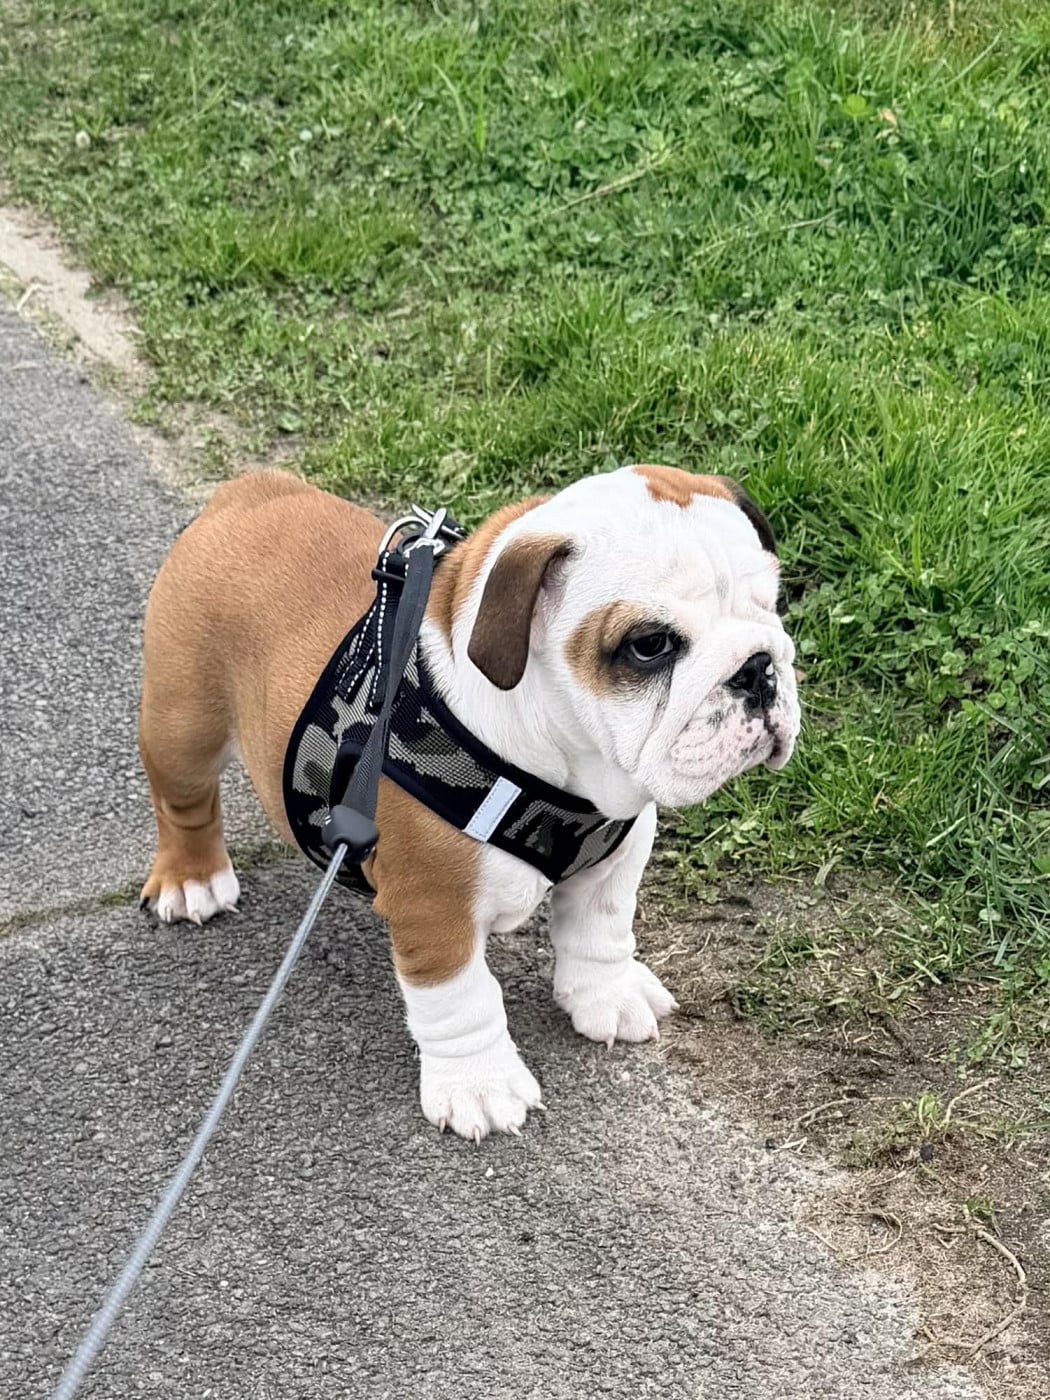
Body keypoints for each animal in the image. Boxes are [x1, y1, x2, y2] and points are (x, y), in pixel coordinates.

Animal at [139, 465, 800, 1139]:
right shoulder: (435, 907)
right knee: (183, 802)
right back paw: (192, 879)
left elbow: (601, 932)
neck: (572, 769)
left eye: (774, 604)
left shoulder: (619, 852)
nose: (758, 669)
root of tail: (249, 489)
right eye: (649, 646)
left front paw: (607, 997)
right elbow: (461, 998)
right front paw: (480, 1084)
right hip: (183, 722)